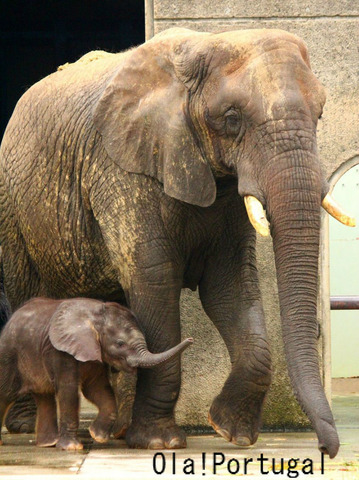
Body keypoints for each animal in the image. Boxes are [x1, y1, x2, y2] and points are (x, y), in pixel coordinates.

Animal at [0, 296, 194, 450]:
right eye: (120, 343)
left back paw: (48, 444)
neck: (95, 316)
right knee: (6, 393)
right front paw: (72, 448)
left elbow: (98, 389)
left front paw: (97, 436)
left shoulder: (95, 353)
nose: (191, 339)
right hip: (9, 355)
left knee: (44, 397)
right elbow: (69, 391)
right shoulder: (60, 352)